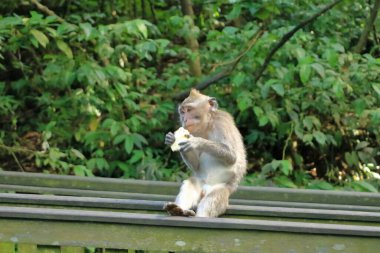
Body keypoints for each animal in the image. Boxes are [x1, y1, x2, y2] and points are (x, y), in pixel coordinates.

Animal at [163, 89, 246, 217]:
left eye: (189, 110)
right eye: (182, 111)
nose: (184, 119)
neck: (208, 124)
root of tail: (205, 189)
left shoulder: (222, 123)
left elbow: (232, 156)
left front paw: (196, 141)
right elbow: (196, 165)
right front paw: (171, 139)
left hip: (222, 190)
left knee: (212, 198)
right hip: (200, 183)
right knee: (191, 183)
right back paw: (178, 209)